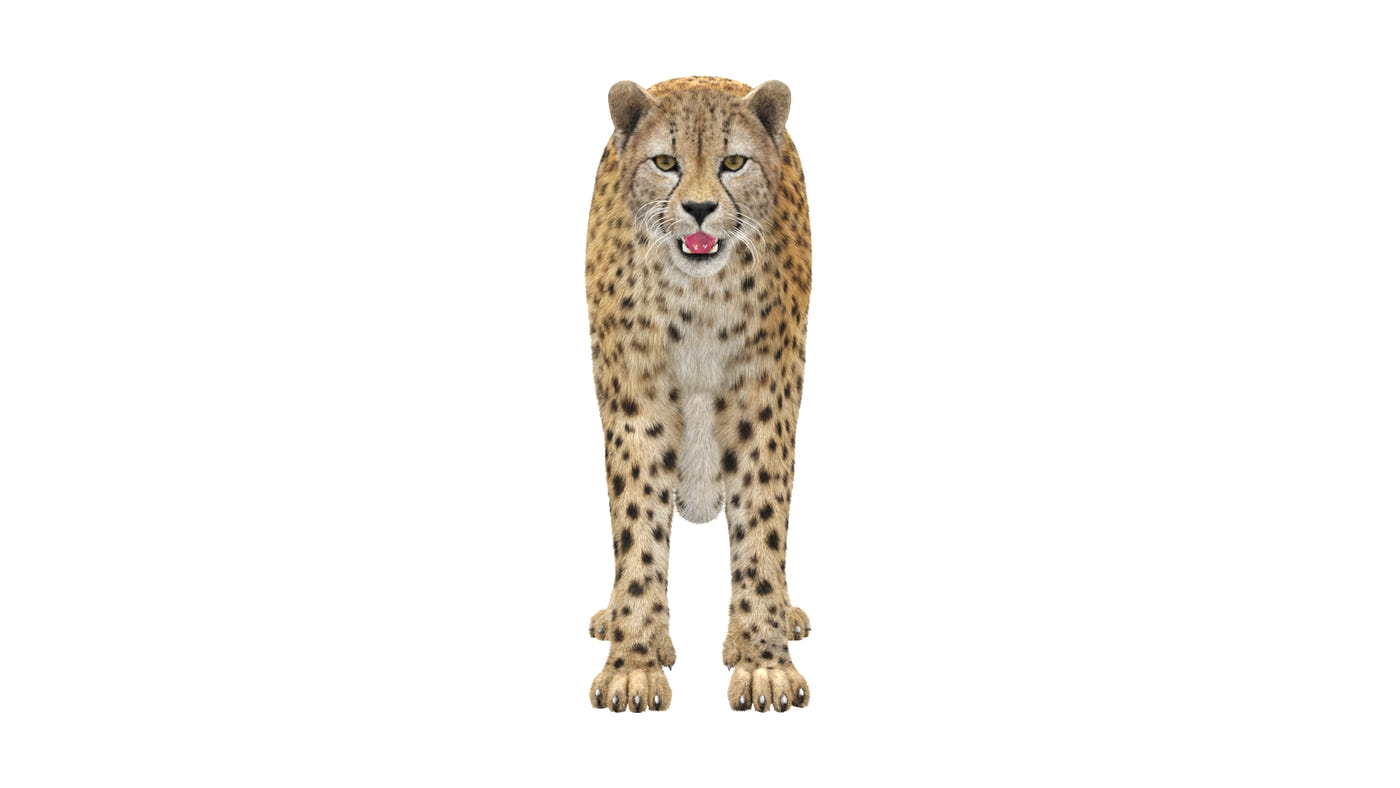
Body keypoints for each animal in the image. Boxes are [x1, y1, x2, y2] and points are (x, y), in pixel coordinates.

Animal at [582, 76, 814, 713]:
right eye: (666, 162)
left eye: (733, 163)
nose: (701, 210)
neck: (699, 296)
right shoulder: (635, 403)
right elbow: (637, 527)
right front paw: (635, 663)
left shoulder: (765, 402)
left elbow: (763, 523)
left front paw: (763, 662)